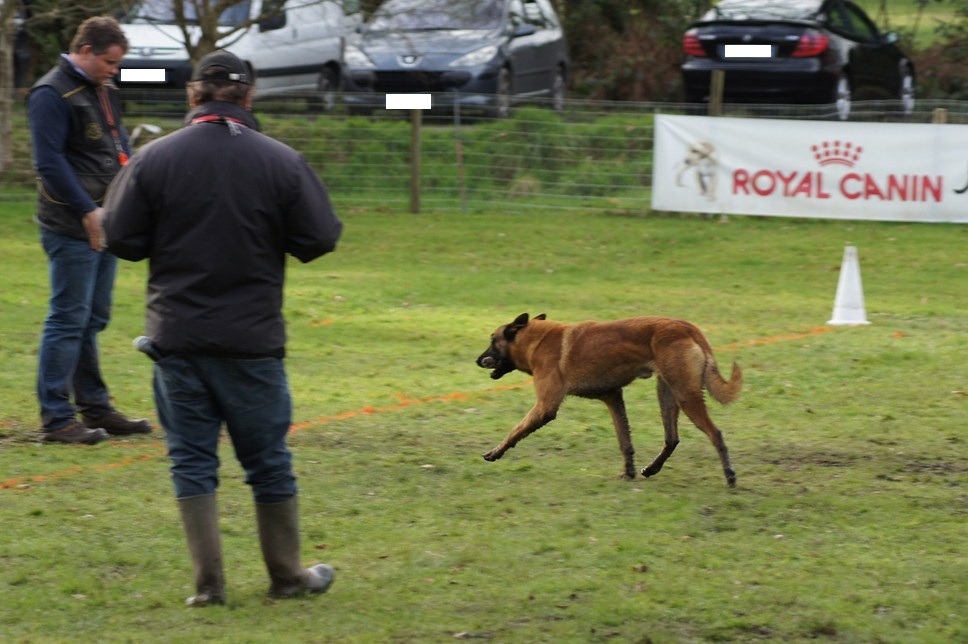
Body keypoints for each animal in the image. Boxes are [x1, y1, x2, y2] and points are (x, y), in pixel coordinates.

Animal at [476, 314, 740, 486]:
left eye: (492, 339)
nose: (478, 360)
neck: (535, 341)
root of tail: (688, 327)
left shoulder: (545, 407)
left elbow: (515, 431)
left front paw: (495, 452)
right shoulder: (613, 397)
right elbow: (625, 441)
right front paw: (629, 472)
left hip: (685, 395)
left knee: (715, 434)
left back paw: (729, 475)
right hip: (667, 394)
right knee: (672, 439)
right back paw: (651, 469)